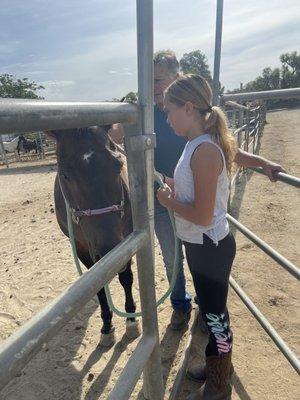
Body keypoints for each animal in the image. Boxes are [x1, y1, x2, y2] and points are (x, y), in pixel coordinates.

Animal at [50, 126, 141, 346]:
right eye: (65, 175)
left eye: (118, 165)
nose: (109, 250)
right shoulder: (82, 248)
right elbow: (97, 284)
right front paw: (107, 327)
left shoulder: (127, 240)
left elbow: (126, 278)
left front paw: (131, 321)